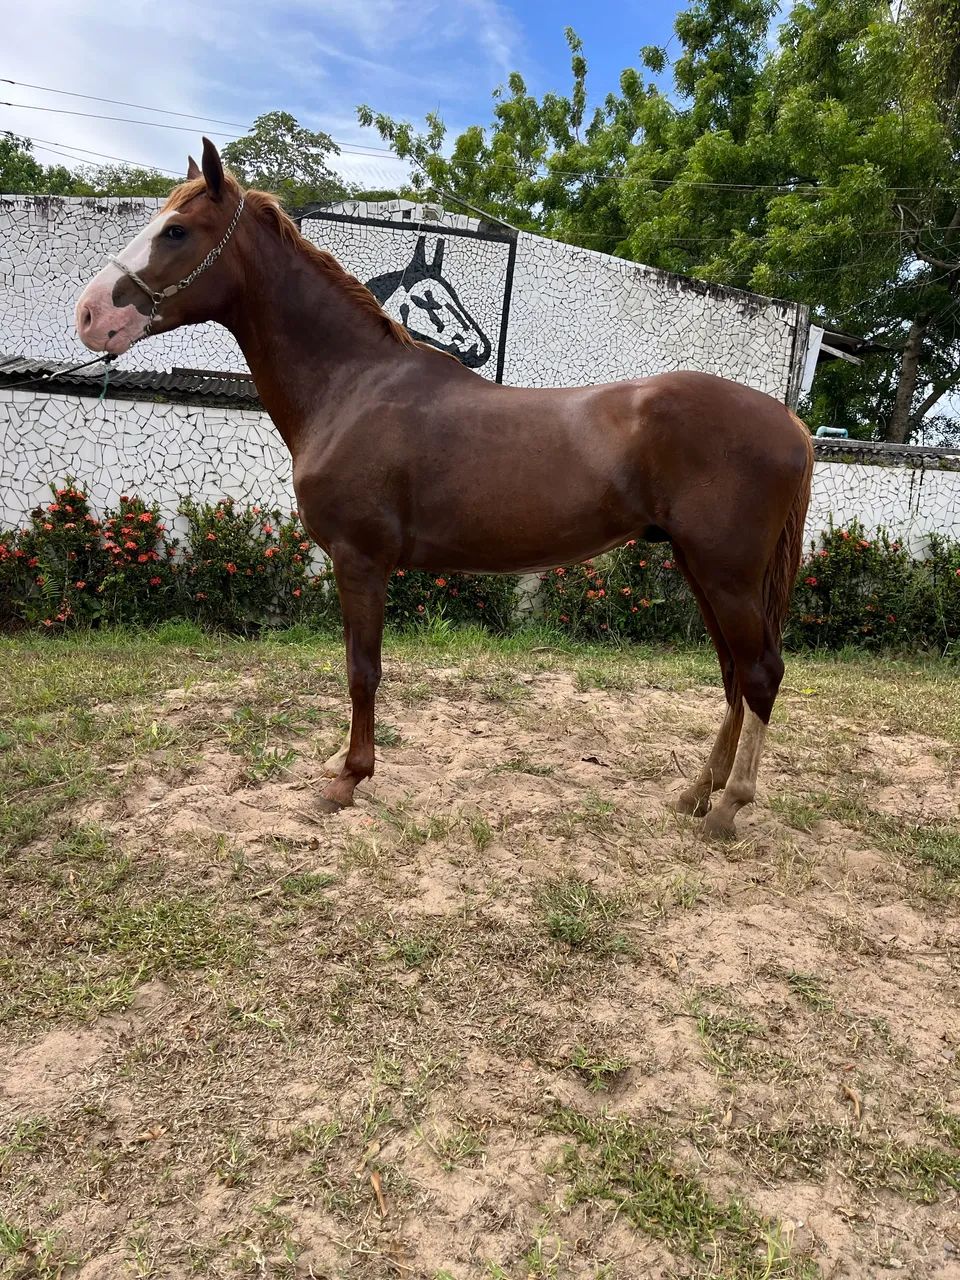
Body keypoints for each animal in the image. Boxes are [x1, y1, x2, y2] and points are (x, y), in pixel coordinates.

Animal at [75, 139, 814, 841]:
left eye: (177, 231)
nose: (89, 315)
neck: (352, 385)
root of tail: (792, 424)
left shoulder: (361, 561)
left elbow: (362, 669)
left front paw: (348, 778)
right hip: (701, 568)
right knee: (733, 676)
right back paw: (696, 794)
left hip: (726, 573)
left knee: (760, 675)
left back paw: (729, 807)